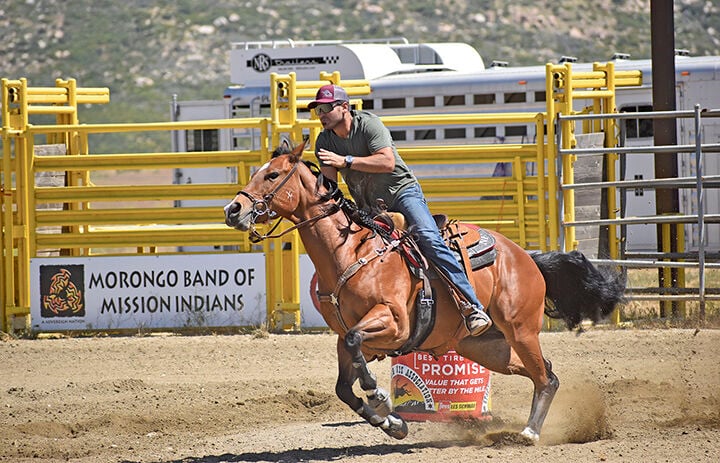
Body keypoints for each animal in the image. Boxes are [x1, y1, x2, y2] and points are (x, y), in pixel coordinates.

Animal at [225, 142, 624, 446]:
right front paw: (393, 423)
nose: (233, 209)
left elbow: (358, 351)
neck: (350, 253)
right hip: (487, 348)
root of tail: (527, 257)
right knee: (548, 373)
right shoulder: (345, 339)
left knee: (544, 378)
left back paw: (528, 433)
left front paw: (380, 396)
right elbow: (343, 386)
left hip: (520, 330)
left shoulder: (394, 323)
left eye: (272, 175)